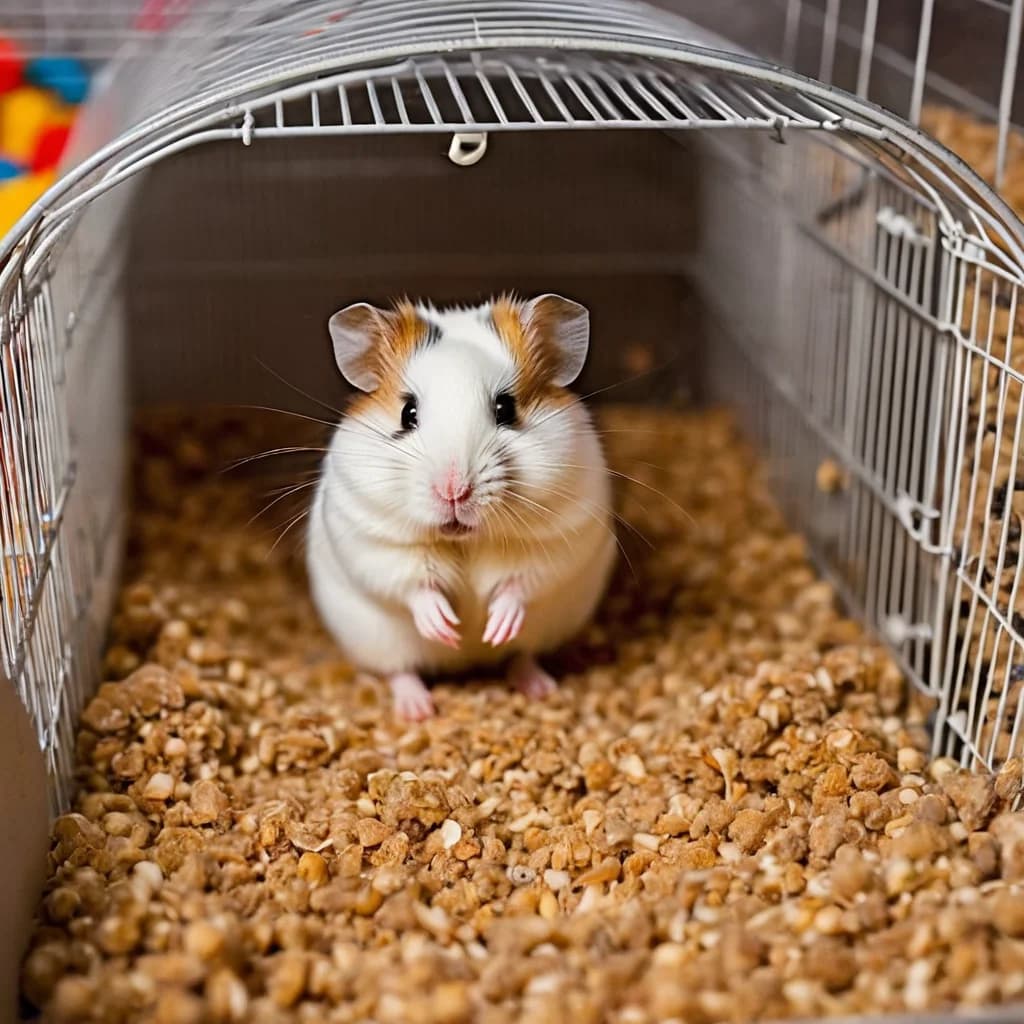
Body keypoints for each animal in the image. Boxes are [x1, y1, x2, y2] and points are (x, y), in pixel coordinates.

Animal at [305, 293, 616, 720]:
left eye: (505, 409)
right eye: (408, 413)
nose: (453, 491)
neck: (465, 540)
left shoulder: (558, 538)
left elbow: (522, 581)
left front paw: (494, 627)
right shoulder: (372, 537)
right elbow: (413, 584)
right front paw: (446, 627)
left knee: (523, 655)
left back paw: (537, 686)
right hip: (377, 640)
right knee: (400, 671)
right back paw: (418, 708)